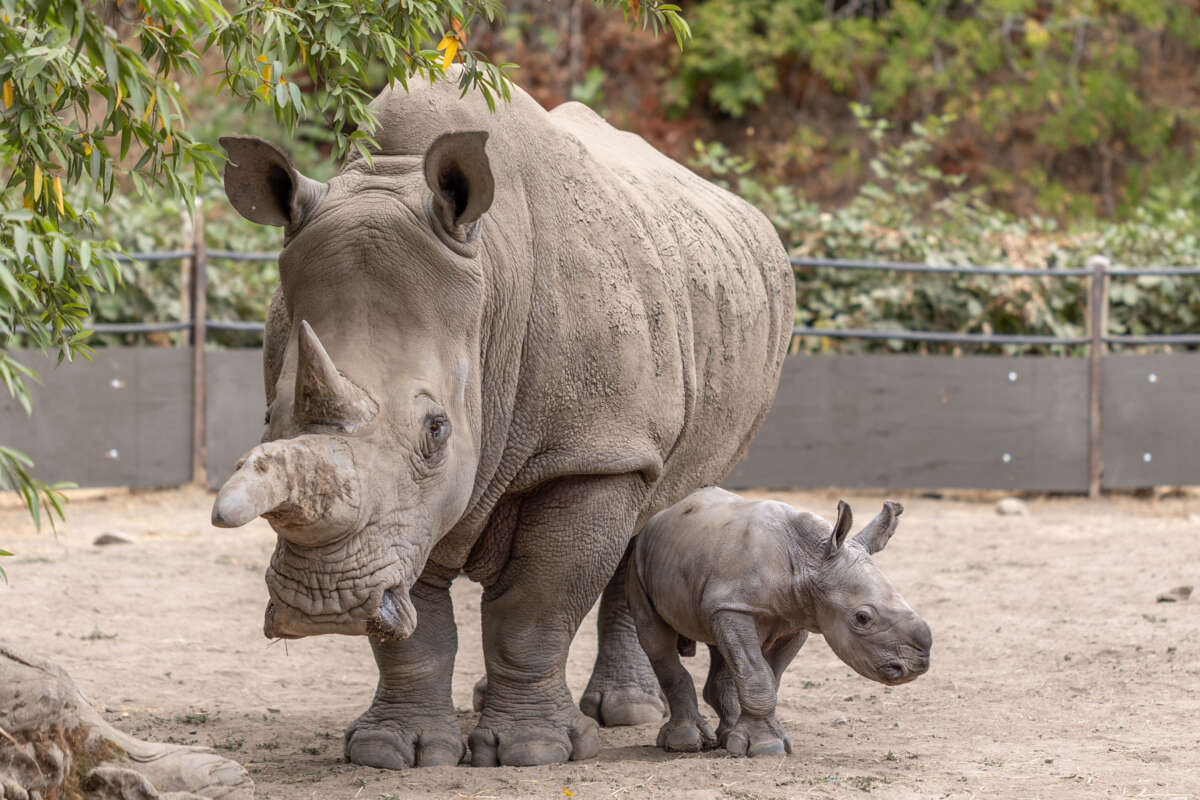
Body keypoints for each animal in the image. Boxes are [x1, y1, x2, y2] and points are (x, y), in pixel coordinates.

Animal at [210, 68, 794, 769]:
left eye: (436, 430)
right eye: (270, 414)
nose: (322, 605)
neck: (490, 283)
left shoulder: (591, 450)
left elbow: (537, 602)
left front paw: (534, 750)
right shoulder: (405, 512)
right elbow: (417, 622)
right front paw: (394, 750)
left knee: (652, 507)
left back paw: (625, 713)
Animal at [627, 489, 932, 757]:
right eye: (862, 618)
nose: (917, 665)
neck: (811, 560)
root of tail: (664, 513)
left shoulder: (794, 618)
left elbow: (768, 676)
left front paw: (757, 739)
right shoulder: (735, 606)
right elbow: (757, 675)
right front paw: (766, 747)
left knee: (720, 645)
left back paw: (727, 735)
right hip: (638, 558)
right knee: (657, 641)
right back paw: (686, 743)